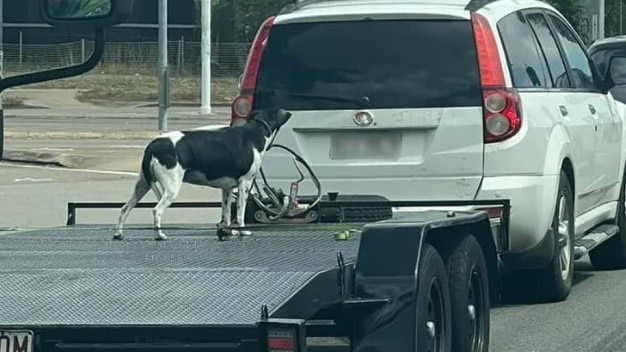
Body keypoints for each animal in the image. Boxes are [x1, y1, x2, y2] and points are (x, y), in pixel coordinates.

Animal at [112, 107, 292, 241]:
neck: (255, 132)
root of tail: (153, 145)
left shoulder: (227, 189)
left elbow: (226, 214)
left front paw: (228, 231)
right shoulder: (244, 184)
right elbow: (240, 213)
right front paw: (242, 231)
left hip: (142, 185)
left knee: (125, 208)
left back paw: (118, 234)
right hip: (171, 188)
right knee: (157, 210)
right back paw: (159, 235)